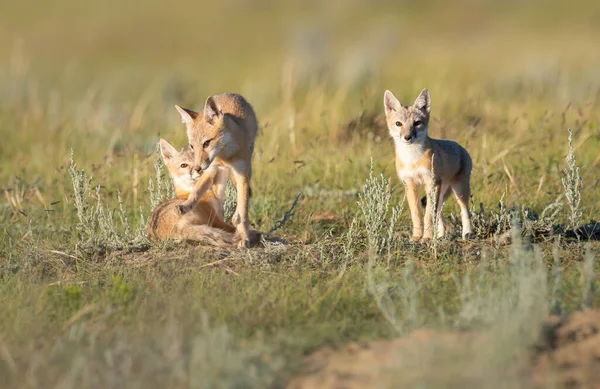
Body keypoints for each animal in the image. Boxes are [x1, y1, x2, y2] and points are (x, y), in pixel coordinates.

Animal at [173, 92, 258, 247]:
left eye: (206, 143)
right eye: (192, 146)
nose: (197, 168)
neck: (225, 157)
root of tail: (228, 94)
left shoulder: (242, 174)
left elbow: (243, 210)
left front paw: (244, 237)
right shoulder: (210, 170)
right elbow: (196, 192)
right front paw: (186, 205)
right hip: (220, 177)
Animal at [384, 88, 474, 239]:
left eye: (417, 123)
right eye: (398, 124)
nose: (407, 137)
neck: (412, 159)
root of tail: (460, 146)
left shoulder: (431, 182)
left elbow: (428, 216)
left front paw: (426, 238)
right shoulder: (410, 184)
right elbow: (417, 215)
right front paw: (416, 237)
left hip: (459, 191)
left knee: (464, 212)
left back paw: (467, 233)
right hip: (442, 191)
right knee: (439, 213)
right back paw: (440, 236)